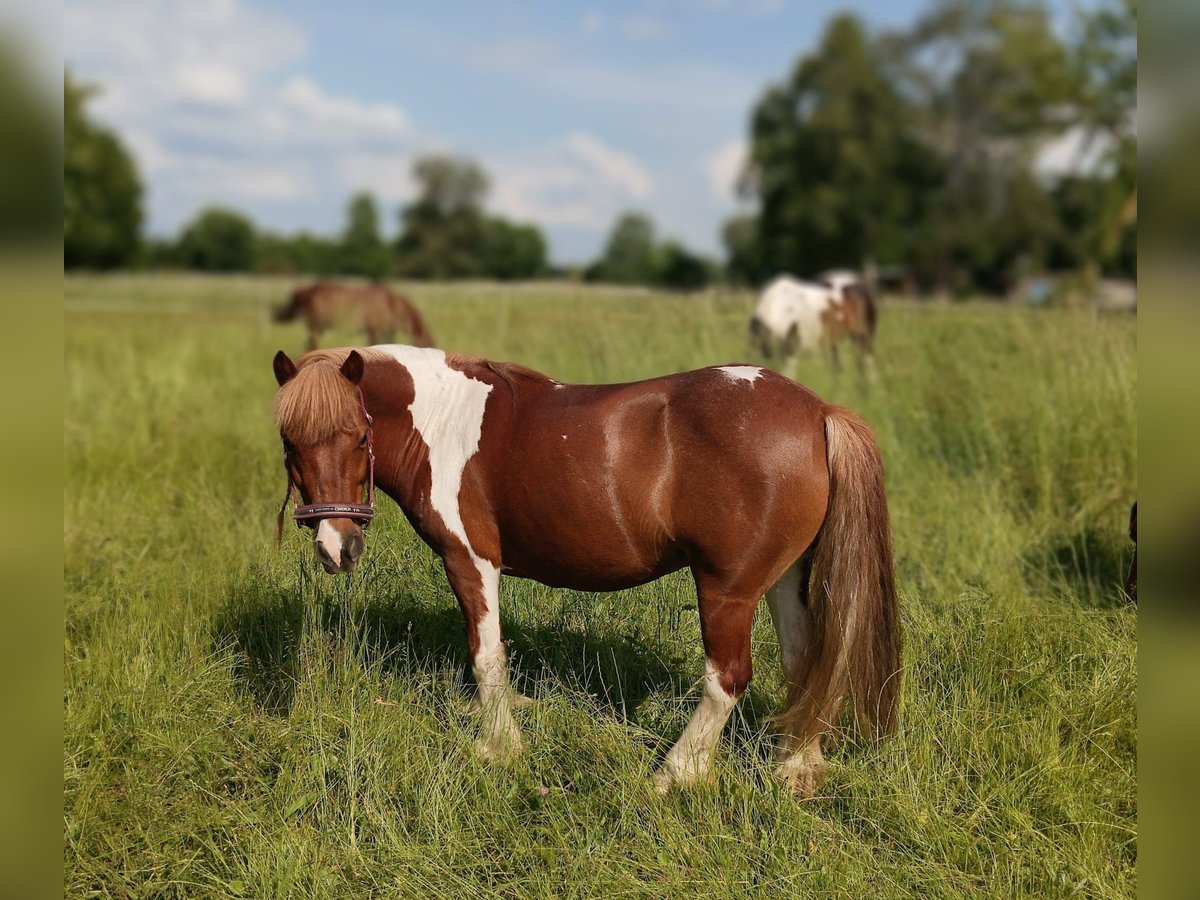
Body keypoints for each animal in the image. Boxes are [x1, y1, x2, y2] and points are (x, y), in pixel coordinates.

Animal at [267, 345, 897, 796]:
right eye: (288, 442)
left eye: (359, 435)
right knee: (807, 661)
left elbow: (485, 653)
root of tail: (819, 412)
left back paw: (674, 774)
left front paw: (498, 747)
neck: (442, 423)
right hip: (783, 578)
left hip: (729, 589)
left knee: (729, 678)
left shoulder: (469, 559)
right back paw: (795, 764)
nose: (337, 548)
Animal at [272, 282, 436, 352]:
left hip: (319, 328)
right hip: (315, 326)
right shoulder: (373, 331)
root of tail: (307, 290)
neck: (390, 305)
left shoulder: (387, 332)